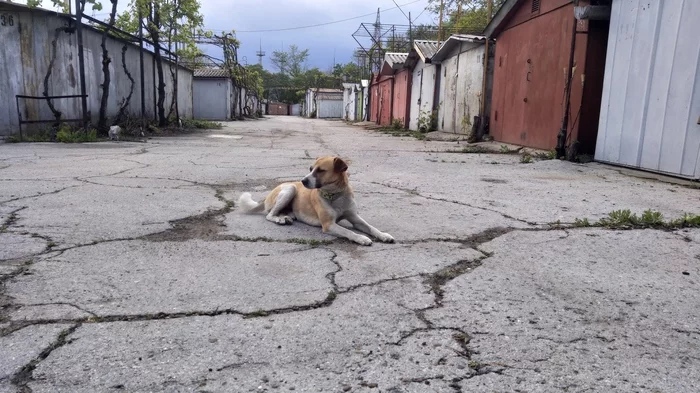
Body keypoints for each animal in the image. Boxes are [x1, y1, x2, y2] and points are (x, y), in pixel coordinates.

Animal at [237, 155, 394, 245]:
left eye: (321, 170)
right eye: (310, 168)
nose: (303, 181)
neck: (336, 196)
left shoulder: (355, 218)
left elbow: (371, 227)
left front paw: (384, 235)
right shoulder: (328, 225)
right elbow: (348, 232)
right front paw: (362, 238)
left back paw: (286, 217)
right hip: (290, 189)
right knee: (269, 215)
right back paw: (279, 219)